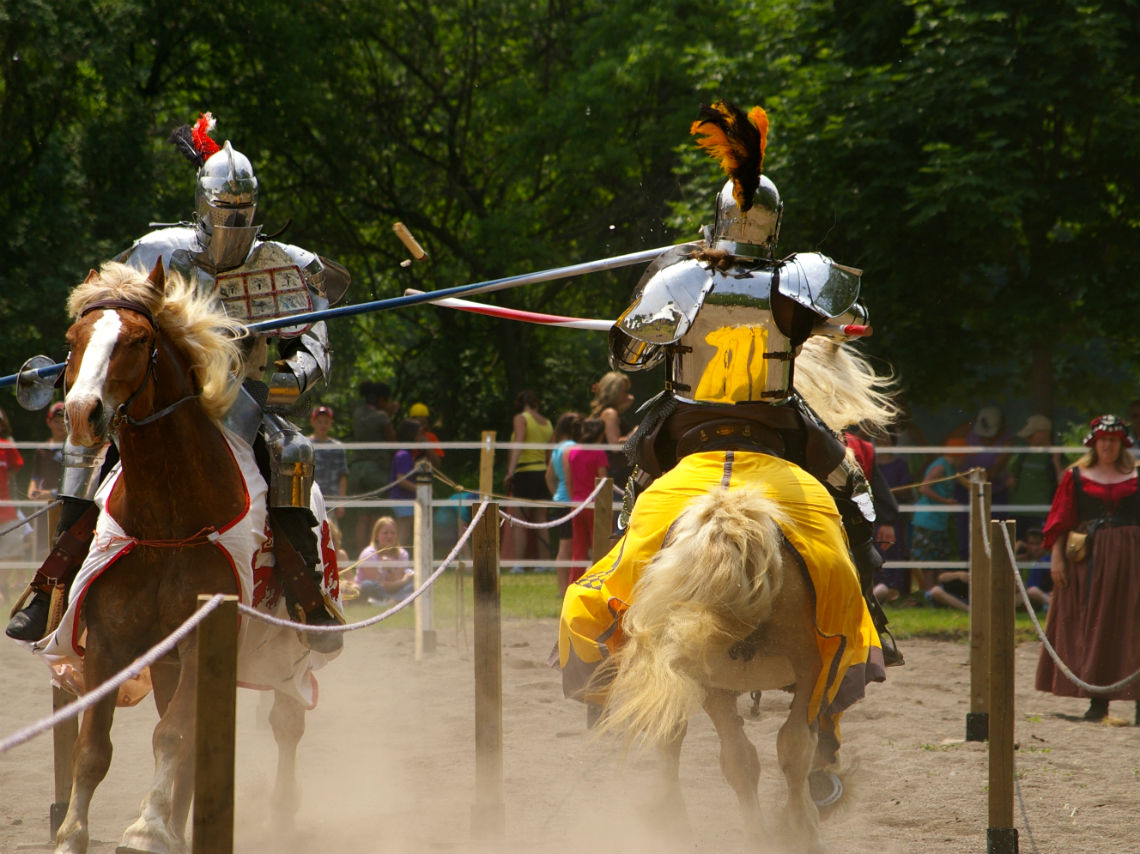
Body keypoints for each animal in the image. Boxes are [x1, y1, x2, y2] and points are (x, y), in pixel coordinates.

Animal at [560, 337, 898, 848]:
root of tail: (731, 516)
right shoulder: (823, 664)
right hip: (799, 665)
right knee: (785, 746)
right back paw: (796, 822)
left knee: (734, 752)